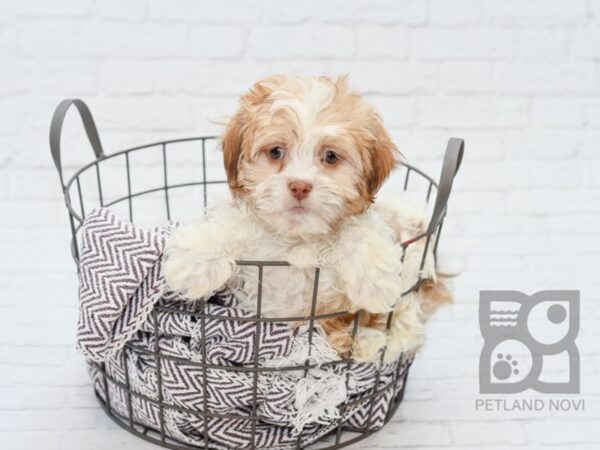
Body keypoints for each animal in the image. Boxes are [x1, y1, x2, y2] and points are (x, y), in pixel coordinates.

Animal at [162, 74, 452, 362]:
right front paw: (193, 265)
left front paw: (374, 280)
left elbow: (359, 227)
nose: (300, 186)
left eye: (330, 156)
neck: (297, 238)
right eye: (276, 152)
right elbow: (231, 225)